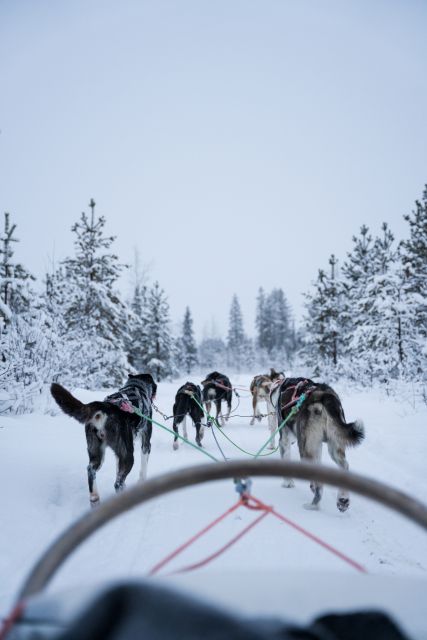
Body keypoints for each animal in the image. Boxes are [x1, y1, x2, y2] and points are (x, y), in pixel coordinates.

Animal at [50, 376, 157, 504]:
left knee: (91, 470)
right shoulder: (146, 444)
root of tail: (105, 406)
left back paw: (95, 497)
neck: (136, 386)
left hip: (97, 453)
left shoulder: (119, 454)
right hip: (128, 456)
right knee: (117, 483)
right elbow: (143, 467)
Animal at [270, 378, 364, 512]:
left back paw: (314, 505)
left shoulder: (284, 440)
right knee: (344, 466)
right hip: (333, 445)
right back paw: (343, 499)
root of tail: (323, 396)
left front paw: (287, 483)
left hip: (306, 448)